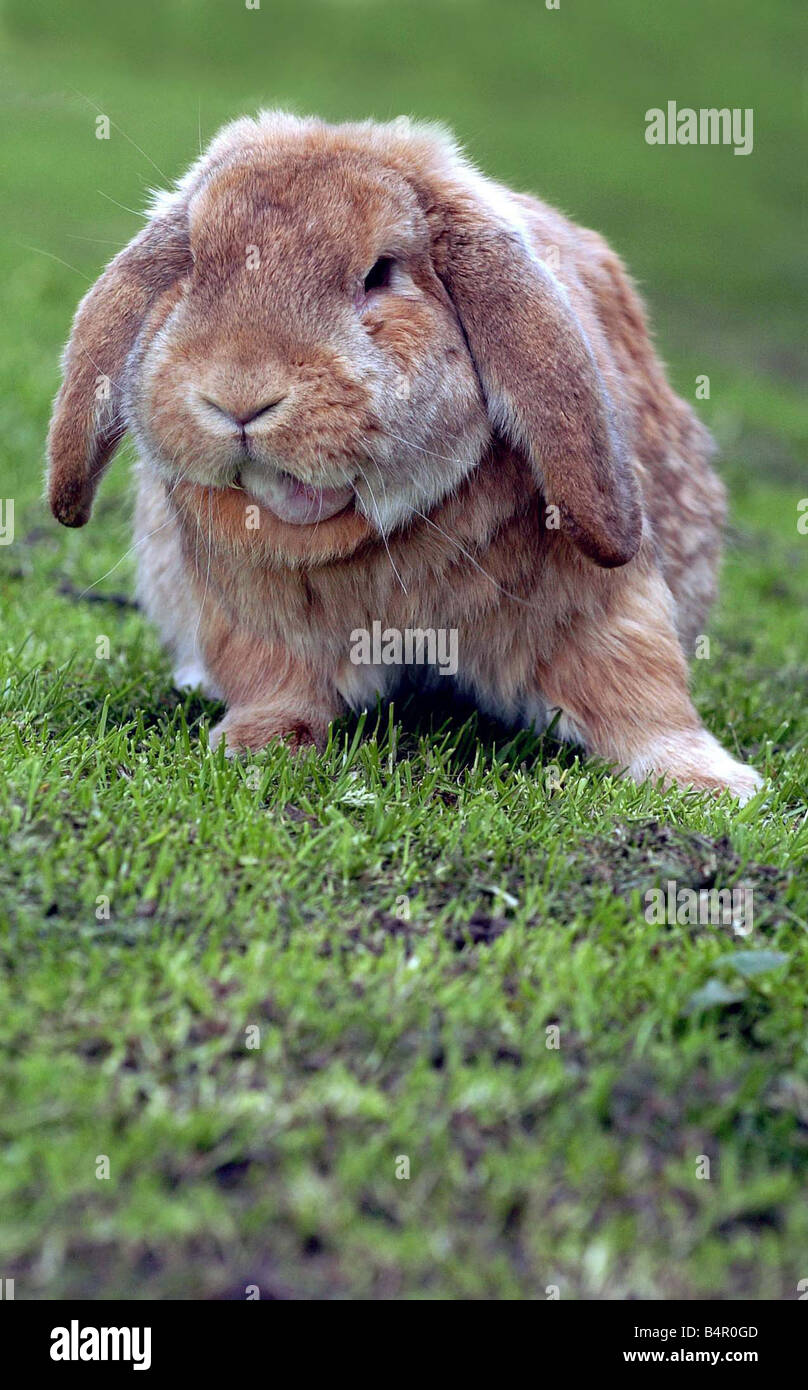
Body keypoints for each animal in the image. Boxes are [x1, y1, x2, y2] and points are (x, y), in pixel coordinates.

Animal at [46, 110, 762, 801]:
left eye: (380, 273)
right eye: (193, 262)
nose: (239, 396)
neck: (380, 539)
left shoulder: (600, 606)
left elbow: (637, 691)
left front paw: (710, 785)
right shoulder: (255, 621)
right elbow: (274, 686)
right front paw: (252, 745)